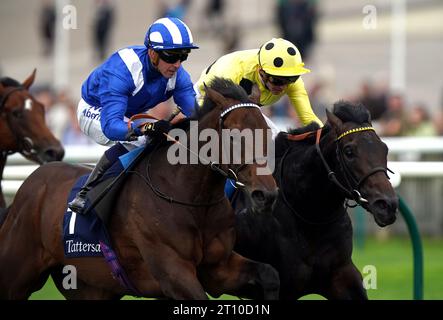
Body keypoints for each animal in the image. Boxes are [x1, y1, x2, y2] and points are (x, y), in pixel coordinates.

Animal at [0, 77, 280, 300]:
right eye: (234, 135)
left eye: (266, 132)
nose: (266, 194)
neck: (189, 196)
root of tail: (27, 188)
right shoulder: (173, 272)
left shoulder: (218, 267)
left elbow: (269, 274)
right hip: (17, 274)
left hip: (89, 286)